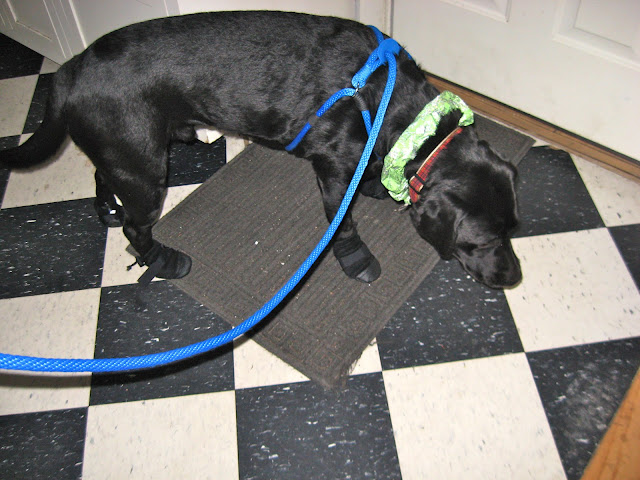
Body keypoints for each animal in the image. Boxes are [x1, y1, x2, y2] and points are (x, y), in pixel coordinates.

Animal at [0, 11, 522, 289]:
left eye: (513, 229)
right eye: (481, 243)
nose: (513, 277)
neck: (393, 104)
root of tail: (67, 70)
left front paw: (377, 185)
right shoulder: (333, 172)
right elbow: (344, 225)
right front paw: (355, 257)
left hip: (128, 152)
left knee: (101, 174)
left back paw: (105, 206)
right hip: (145, 168)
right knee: (135, 226)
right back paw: (162, 259)